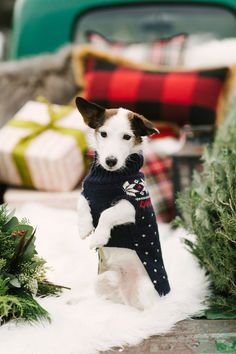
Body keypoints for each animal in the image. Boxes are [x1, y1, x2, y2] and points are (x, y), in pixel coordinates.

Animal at [75, 97, 170, 310]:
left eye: (127, 137)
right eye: (103, 134)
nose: (111, 161)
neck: (107, 177)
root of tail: (126, 297)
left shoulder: (133, 205)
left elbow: (107, 213)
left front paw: (99, 236)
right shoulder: (87, 192)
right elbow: (80, 203)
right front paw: (84, 227)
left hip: (146, 290)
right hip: (102, 280)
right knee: (107, 300)